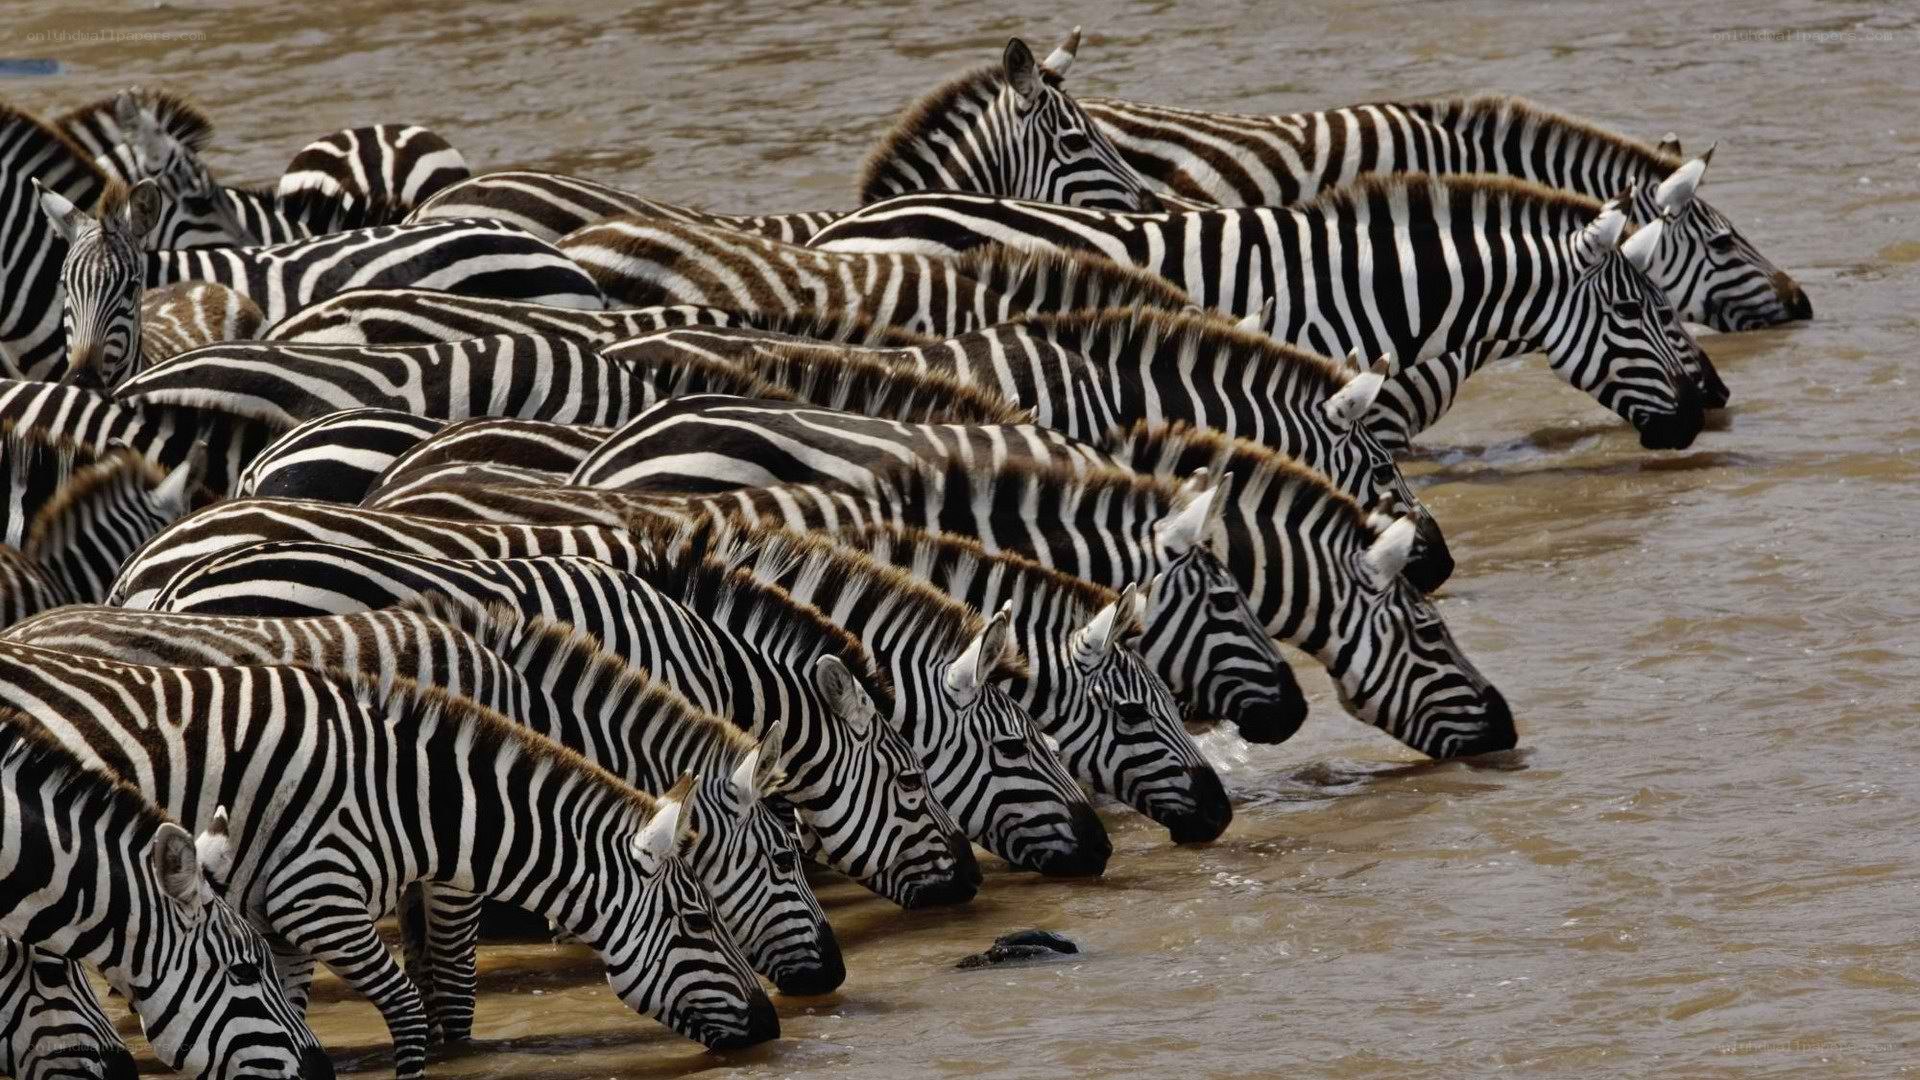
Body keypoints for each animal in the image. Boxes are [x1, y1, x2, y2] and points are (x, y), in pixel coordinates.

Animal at [2, 598, 843, 1012]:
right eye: (785, 858)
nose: (834, 975)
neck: (525, 702)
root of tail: (32, 620)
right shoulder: (455, 841)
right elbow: (450, 959)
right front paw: (451, 1042)